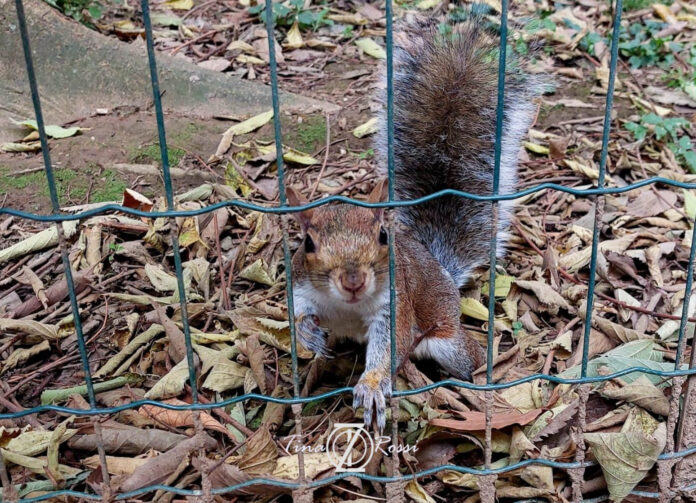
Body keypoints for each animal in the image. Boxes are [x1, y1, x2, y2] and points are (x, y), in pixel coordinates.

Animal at [282, 17, 540, 432]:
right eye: (308, 243)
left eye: (382, 236)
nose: (353, 282)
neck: (346, 307)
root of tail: (440, 269)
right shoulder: (302, 287)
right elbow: (297, 312)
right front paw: (308, 335)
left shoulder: (396, 306)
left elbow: (390, 347)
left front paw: (372, 386)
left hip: (445, 337)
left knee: (463, 355)